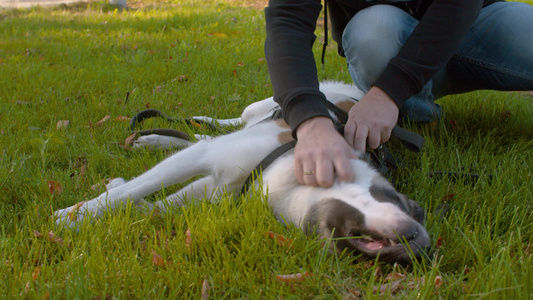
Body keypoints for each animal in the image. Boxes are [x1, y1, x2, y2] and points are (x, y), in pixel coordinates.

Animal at [53, 81, 428, 264]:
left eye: (415, 210)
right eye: (400, 201)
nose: (420, 243)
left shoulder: (213, 186)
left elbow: (155, 206)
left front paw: (107, 207)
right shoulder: (204, 160)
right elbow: (128, 192)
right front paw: (75, 214)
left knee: (202, 136)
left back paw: (158, 139)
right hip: (259, 106)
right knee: (221, 125)